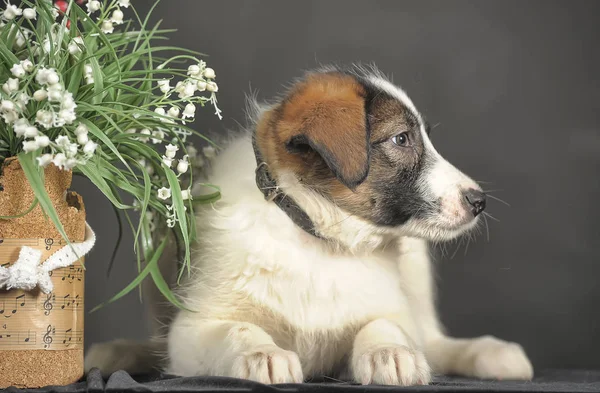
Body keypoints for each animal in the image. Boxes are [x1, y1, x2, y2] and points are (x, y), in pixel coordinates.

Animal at [85, 66, 536, 384]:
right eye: (402, 139)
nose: (479, 201)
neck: (320, 239)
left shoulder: (391, 308)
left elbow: (385, 324)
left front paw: (390, 353)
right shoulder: (193, 329)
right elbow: (239, 330)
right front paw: (261, 355)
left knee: (433, 340)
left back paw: (491, 354)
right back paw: (116, 353)